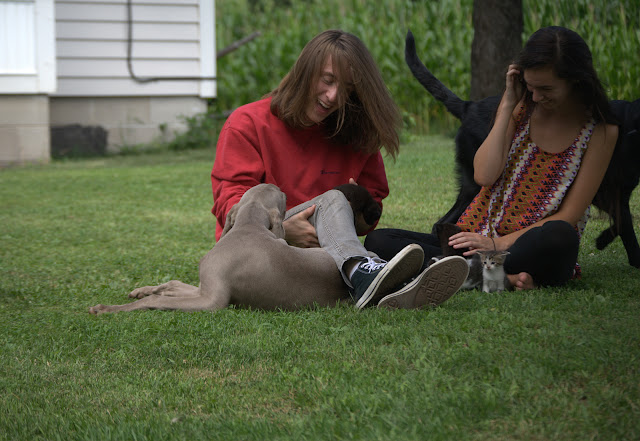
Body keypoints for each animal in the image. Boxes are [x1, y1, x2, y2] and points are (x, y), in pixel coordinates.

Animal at [88, 184, 348, 314]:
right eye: (283, 196)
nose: (276, 183)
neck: (249, 225)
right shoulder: (205, 286)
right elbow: (171, 284)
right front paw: (143, 290)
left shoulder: (213, 299)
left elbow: (155, 300)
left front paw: (108, 308)